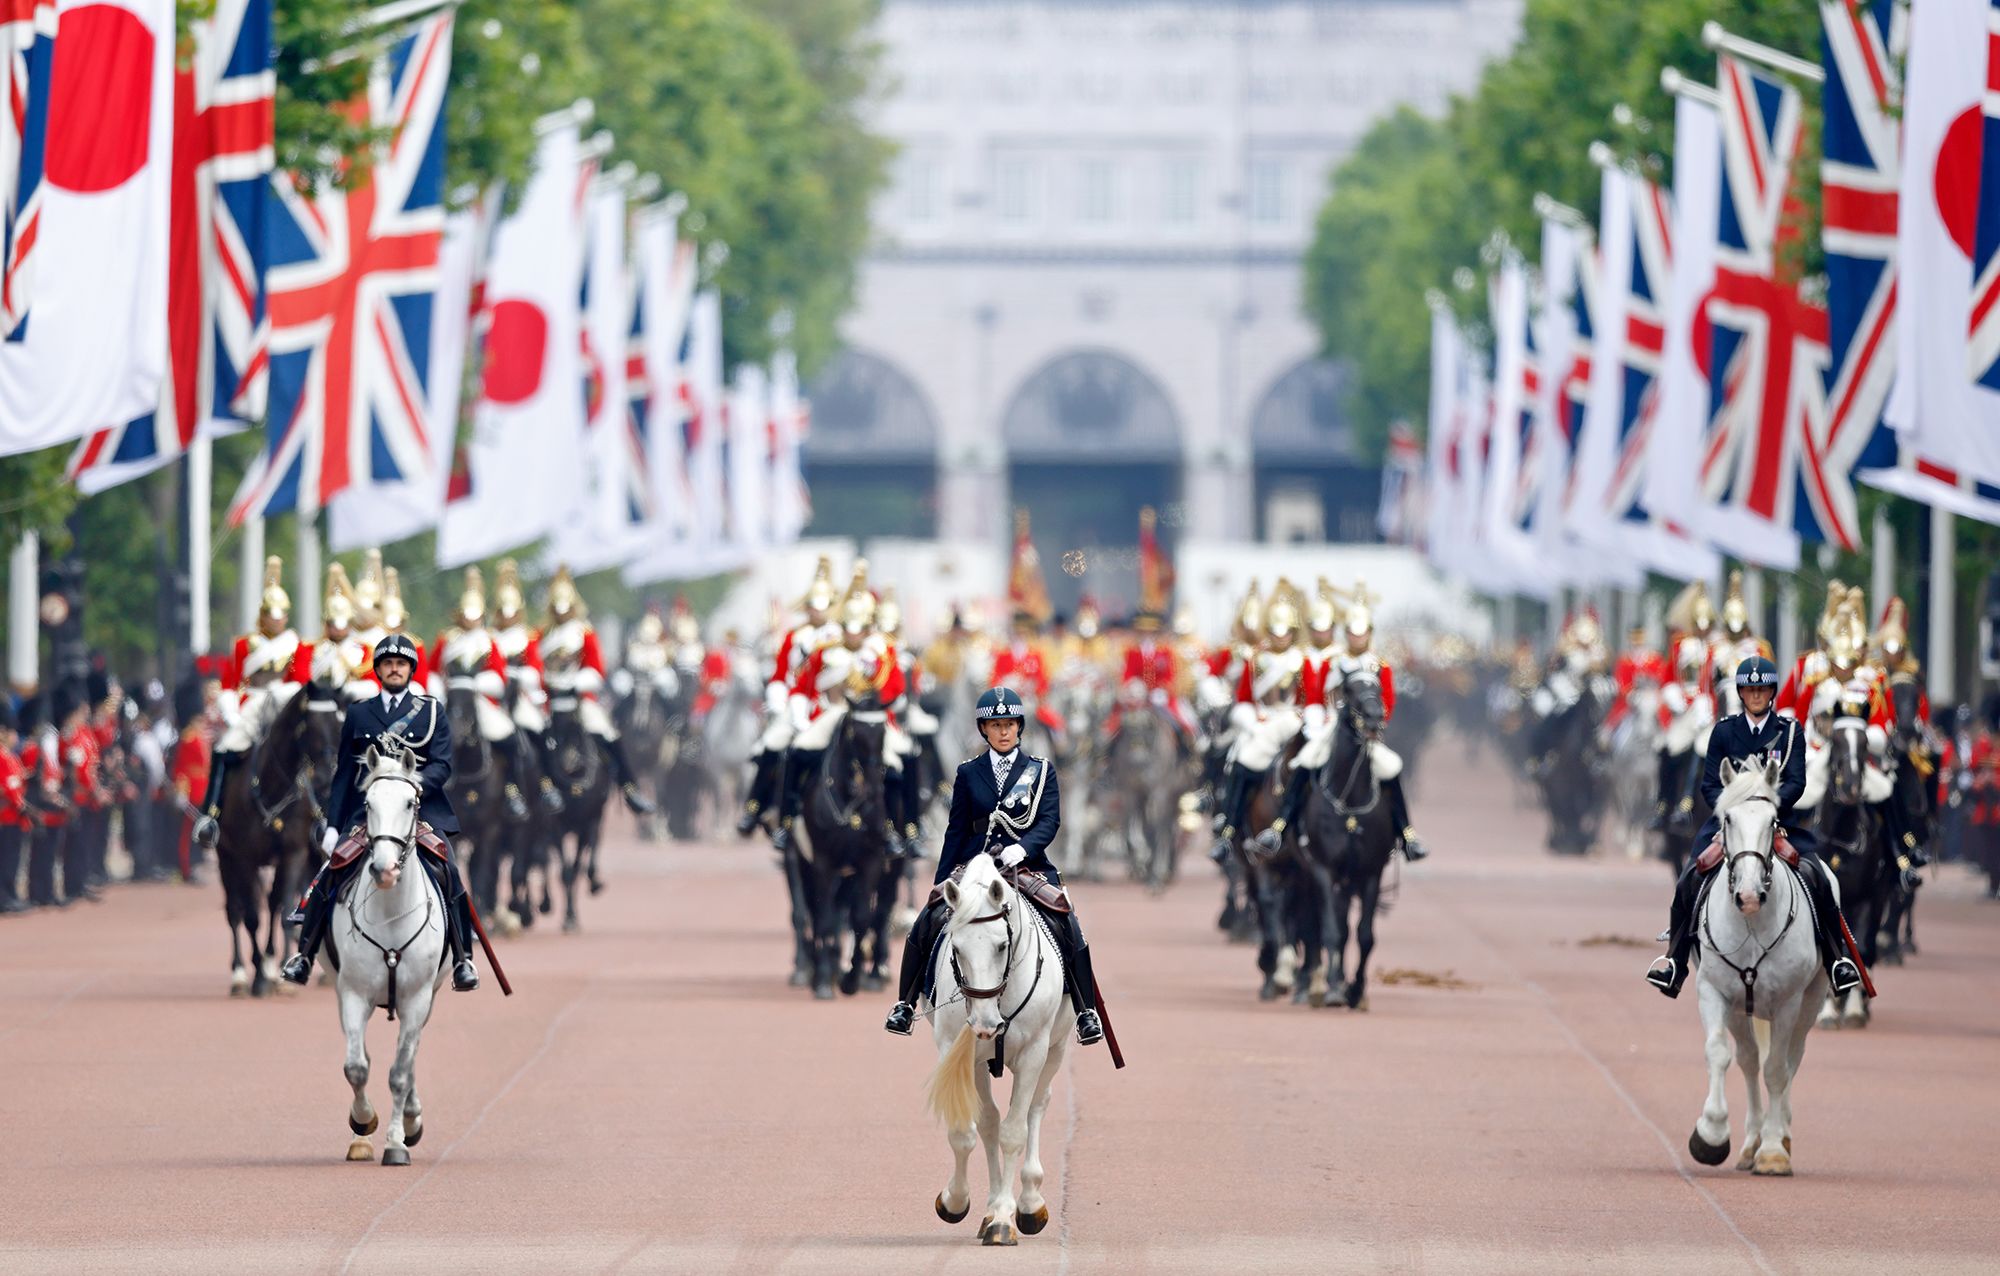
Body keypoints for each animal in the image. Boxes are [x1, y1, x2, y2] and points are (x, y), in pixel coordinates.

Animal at [330, 740, 448, 1168]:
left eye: (411, 804)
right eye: (367, 803)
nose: (383, 869)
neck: (391, 912)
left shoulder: (417, 997)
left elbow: (399, 1071)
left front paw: (397, 1142)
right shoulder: (352, 993)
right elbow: (356, 1067)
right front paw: (363, 1122)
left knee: (409, 1056)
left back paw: (410, 1120)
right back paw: (360, 1138)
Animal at [924, 860, 1080, 1248]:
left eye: (1001, 946)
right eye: (957, 947)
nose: (985, 1024)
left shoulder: (1033, 1053)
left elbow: (1014, 1133)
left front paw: (1004, 1219)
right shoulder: (961, 1053)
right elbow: (971, 1130)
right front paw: (957, 1201)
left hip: (1055, 1050)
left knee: (1036, 1107)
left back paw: (1029, 1203)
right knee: (991, 1122)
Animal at [1688, 760, 1832, 1184]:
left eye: (1773, 821)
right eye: (1728, 818)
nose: (1749, 895)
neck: (1752, 924)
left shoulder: (1788, 1003)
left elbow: (1777, 1072)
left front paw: (1773, 1152)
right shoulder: (1714, 992)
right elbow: (1720, 1054)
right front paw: (1711, 1134)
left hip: (1809, 1003)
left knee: (1789, 1061)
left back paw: (1778, 1135)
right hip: (1741, 1010)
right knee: (1750, 1060)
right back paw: (1751, 1142)